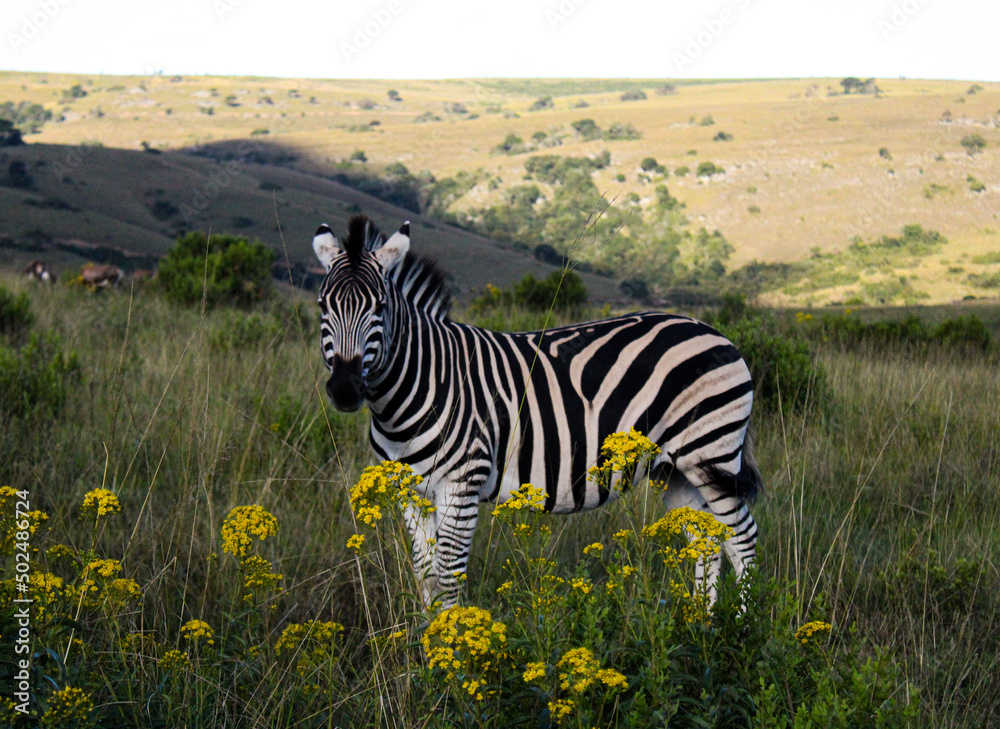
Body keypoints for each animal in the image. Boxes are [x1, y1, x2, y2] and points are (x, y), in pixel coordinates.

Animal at [314, 214, 761, 608]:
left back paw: (741, 628)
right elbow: (425, 577)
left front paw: (453, 647)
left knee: (742, 538)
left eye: (380, 308)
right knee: (706, 543)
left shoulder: (463, 483)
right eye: (322, 307)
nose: (345, 389)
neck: (418, 388)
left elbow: (447, 576)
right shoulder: (410, 491)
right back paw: (701, 625)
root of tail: (714, 332)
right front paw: (429, 646)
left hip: (711, 455)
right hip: (676, 471)